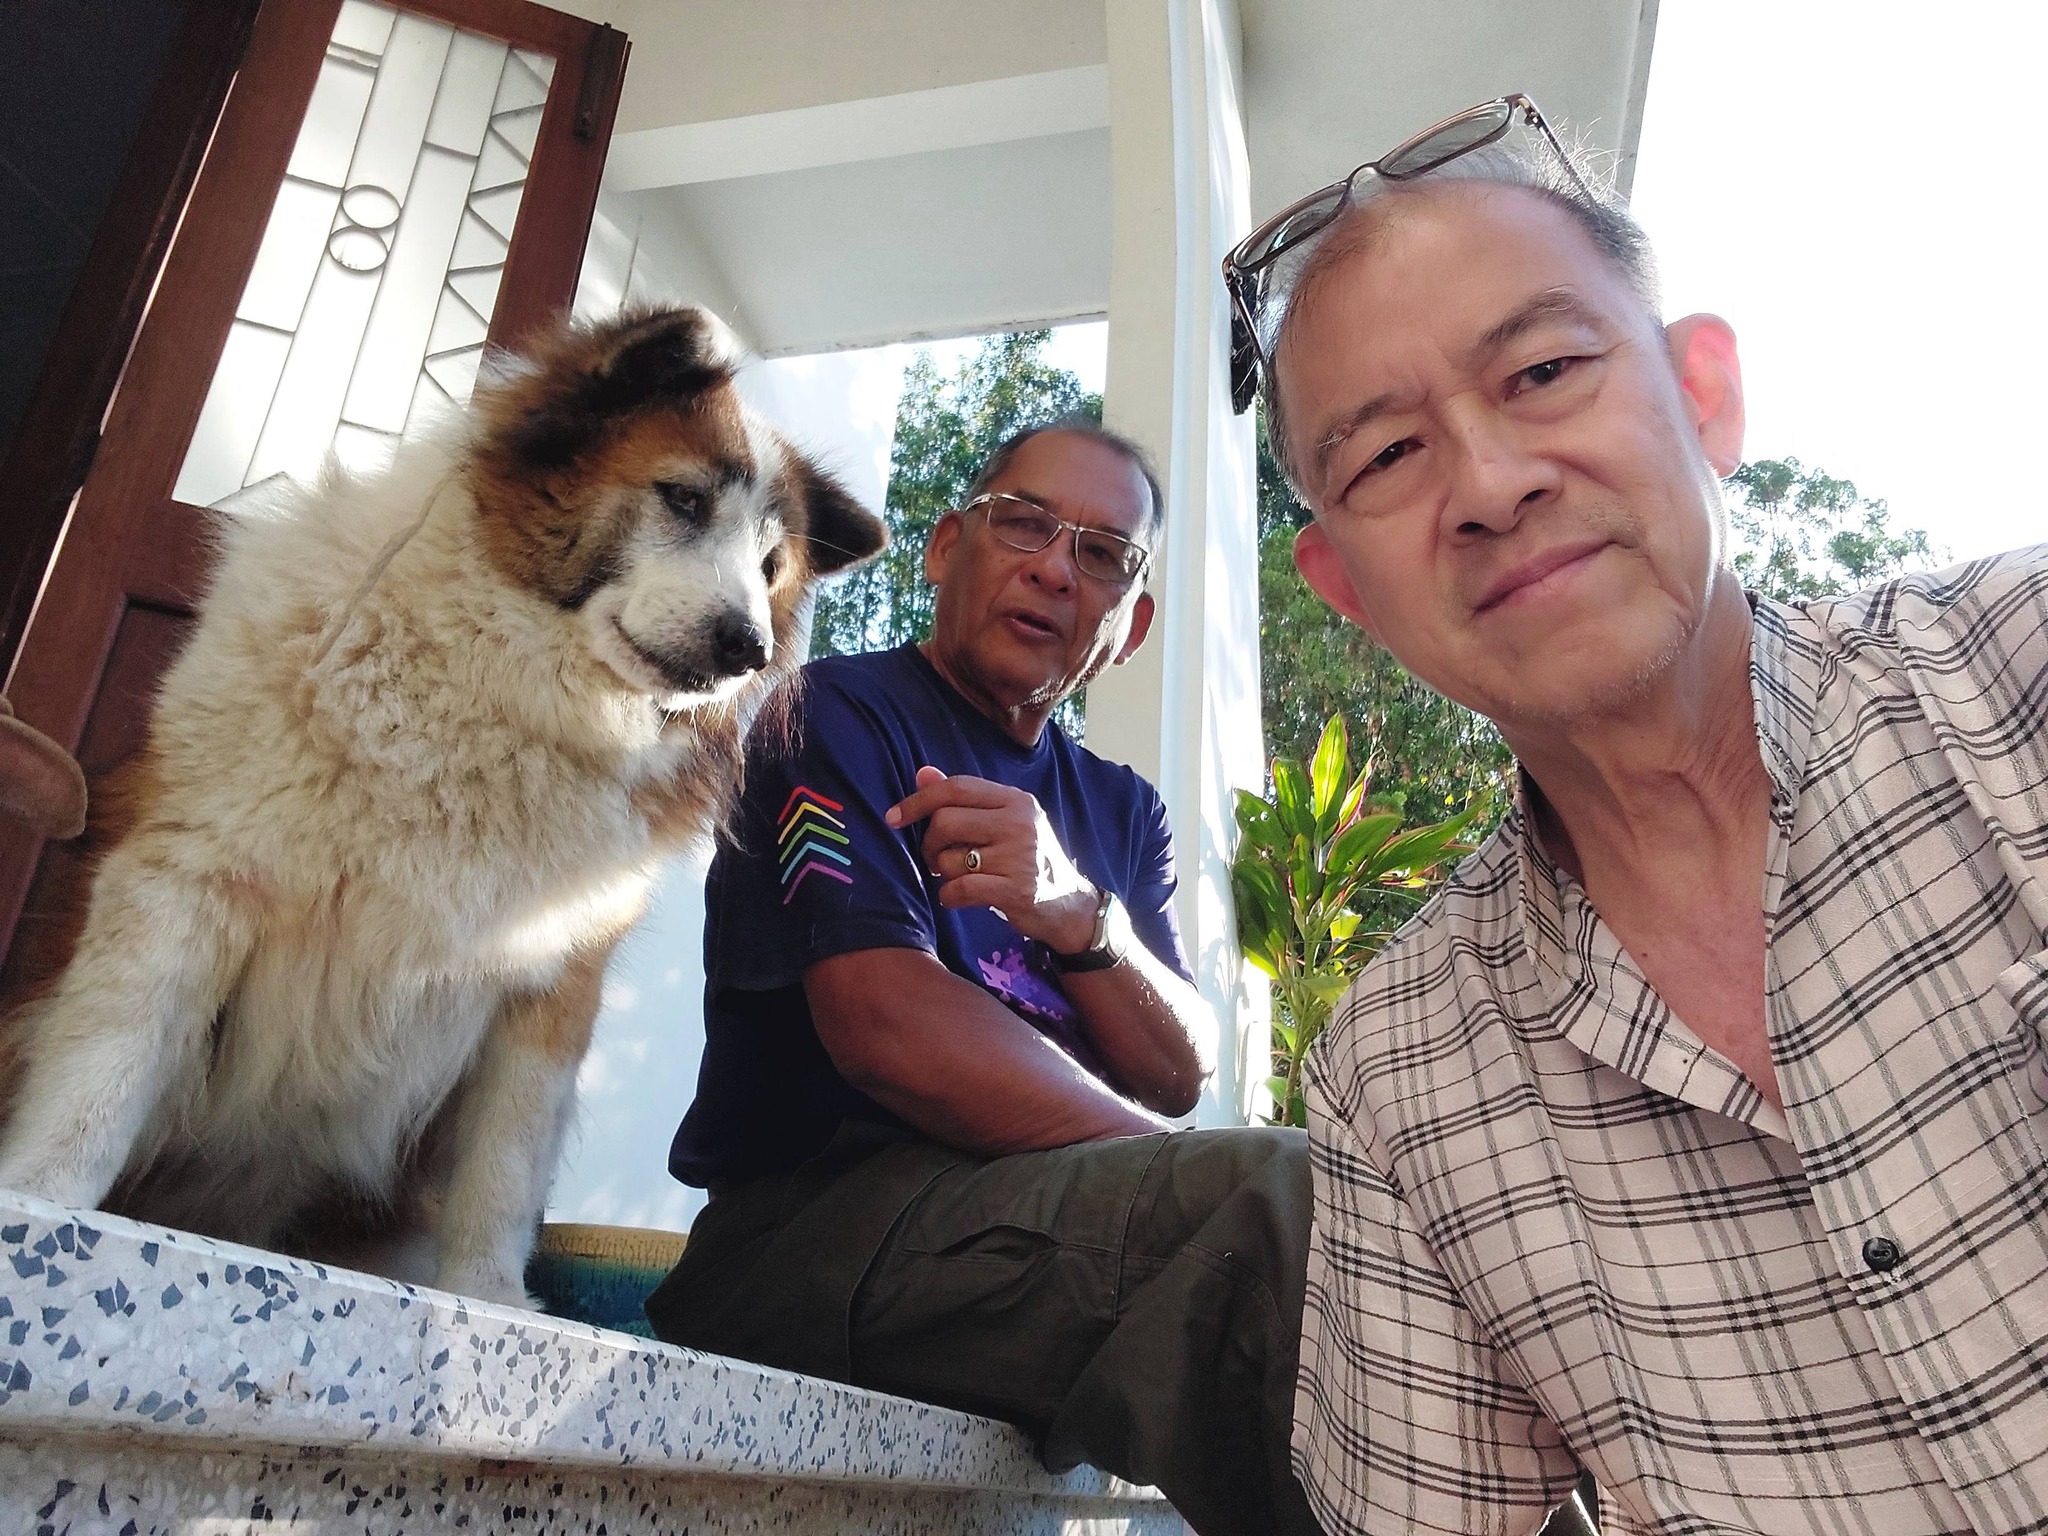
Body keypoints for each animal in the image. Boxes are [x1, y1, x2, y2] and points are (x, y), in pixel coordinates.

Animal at [0, 305, 885, 1306]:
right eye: (684, 500)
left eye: (771, 566)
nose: (748, 646)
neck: (504, 690)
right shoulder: (184, 881)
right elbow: (103, 1070)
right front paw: (41, 1204)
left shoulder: (546, 988)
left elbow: (501, 1167)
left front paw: (488, 1299)